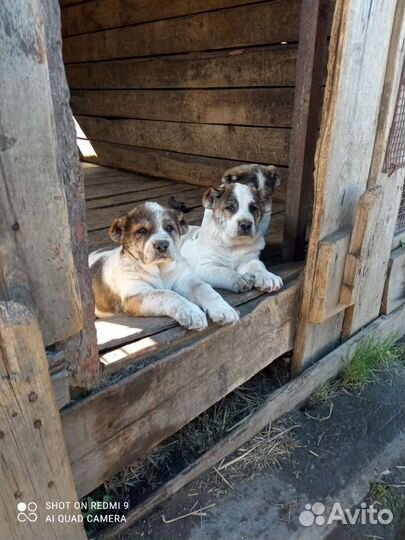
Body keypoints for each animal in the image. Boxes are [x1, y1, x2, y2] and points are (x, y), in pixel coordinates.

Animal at [88, 201, 238, 330]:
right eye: (141, 231)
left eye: (169, 228)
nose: (162, 245)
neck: (160, 269)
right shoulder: (136, 294)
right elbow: (167, 294)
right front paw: (192, 312)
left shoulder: (184, 279)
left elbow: (204, 288)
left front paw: (223, 309)